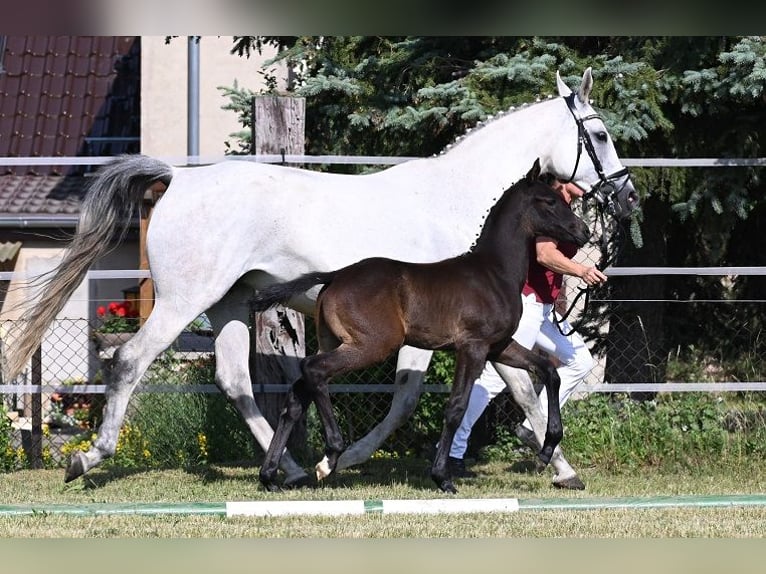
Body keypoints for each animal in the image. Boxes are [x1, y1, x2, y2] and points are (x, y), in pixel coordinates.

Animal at [252, 161, 592, 496]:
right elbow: (456, 406)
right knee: (315, 370)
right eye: (549, 201)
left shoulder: (499, 346)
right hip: (372, 345)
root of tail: (335, 275)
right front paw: (442, 477)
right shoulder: (473, 346)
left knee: (296, 397)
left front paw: (546, 451)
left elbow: (550, 371)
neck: (495, 272)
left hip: (334, 341)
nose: (584, 231)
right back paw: (330, 457)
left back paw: (271, 476)